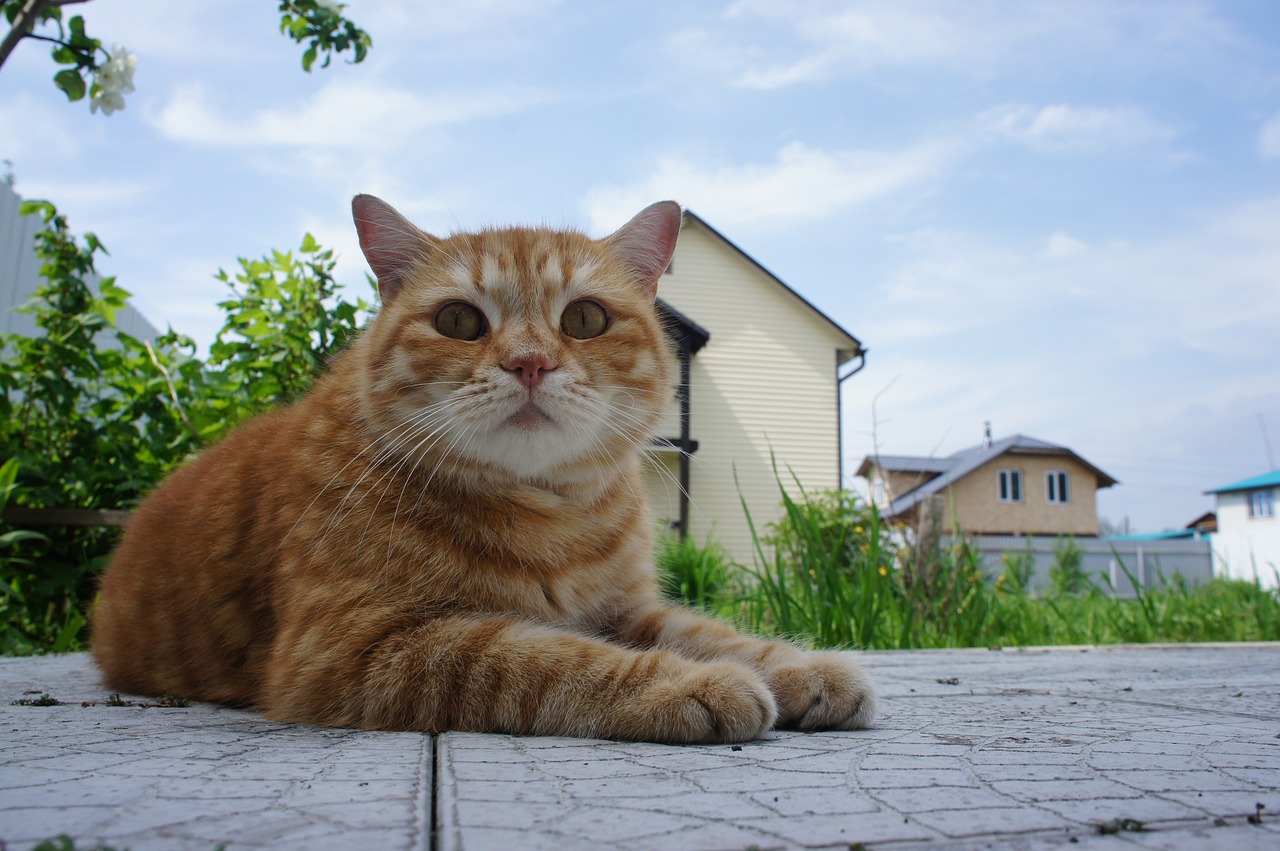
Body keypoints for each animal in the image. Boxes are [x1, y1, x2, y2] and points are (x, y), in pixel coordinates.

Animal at [87, 195, 870, 742]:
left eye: (585, 319)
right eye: (460, 321)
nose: (529, 363)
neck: (551, 513)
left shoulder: (629, 609)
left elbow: (714, 632)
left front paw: (803, 667)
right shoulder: (351, 648)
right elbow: (546, 657)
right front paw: (686, 686)